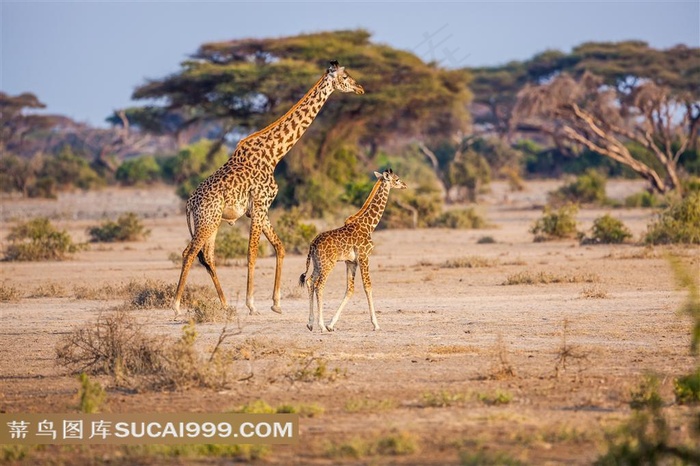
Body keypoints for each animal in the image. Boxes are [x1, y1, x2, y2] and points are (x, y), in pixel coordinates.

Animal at [174, 61, 366, 316]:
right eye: (345, 77)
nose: (360, 88)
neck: (275, 154)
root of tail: (189, 203)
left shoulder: (259, 209)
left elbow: (280, 247)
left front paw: (276, 303)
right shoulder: (260, 204)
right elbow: (252, 252)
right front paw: (252, 304)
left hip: (211, 222)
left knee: (207, 257)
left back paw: (225, 304)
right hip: (208, 219)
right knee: (189, 253)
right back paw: (176, 306)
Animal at [298, 169, 408, 334]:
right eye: (397, 179)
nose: (405, 185)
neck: (369, 225)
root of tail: (312, 244)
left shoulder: (351, 262)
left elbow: (349, 289)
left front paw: (331, 324)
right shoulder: (364, 257)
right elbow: (368, 287)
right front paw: (376, 324)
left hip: (318, 264)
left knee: (310, 281)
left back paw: (311, 323)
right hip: (327, 264)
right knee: (319, 286)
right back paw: (321, 326)